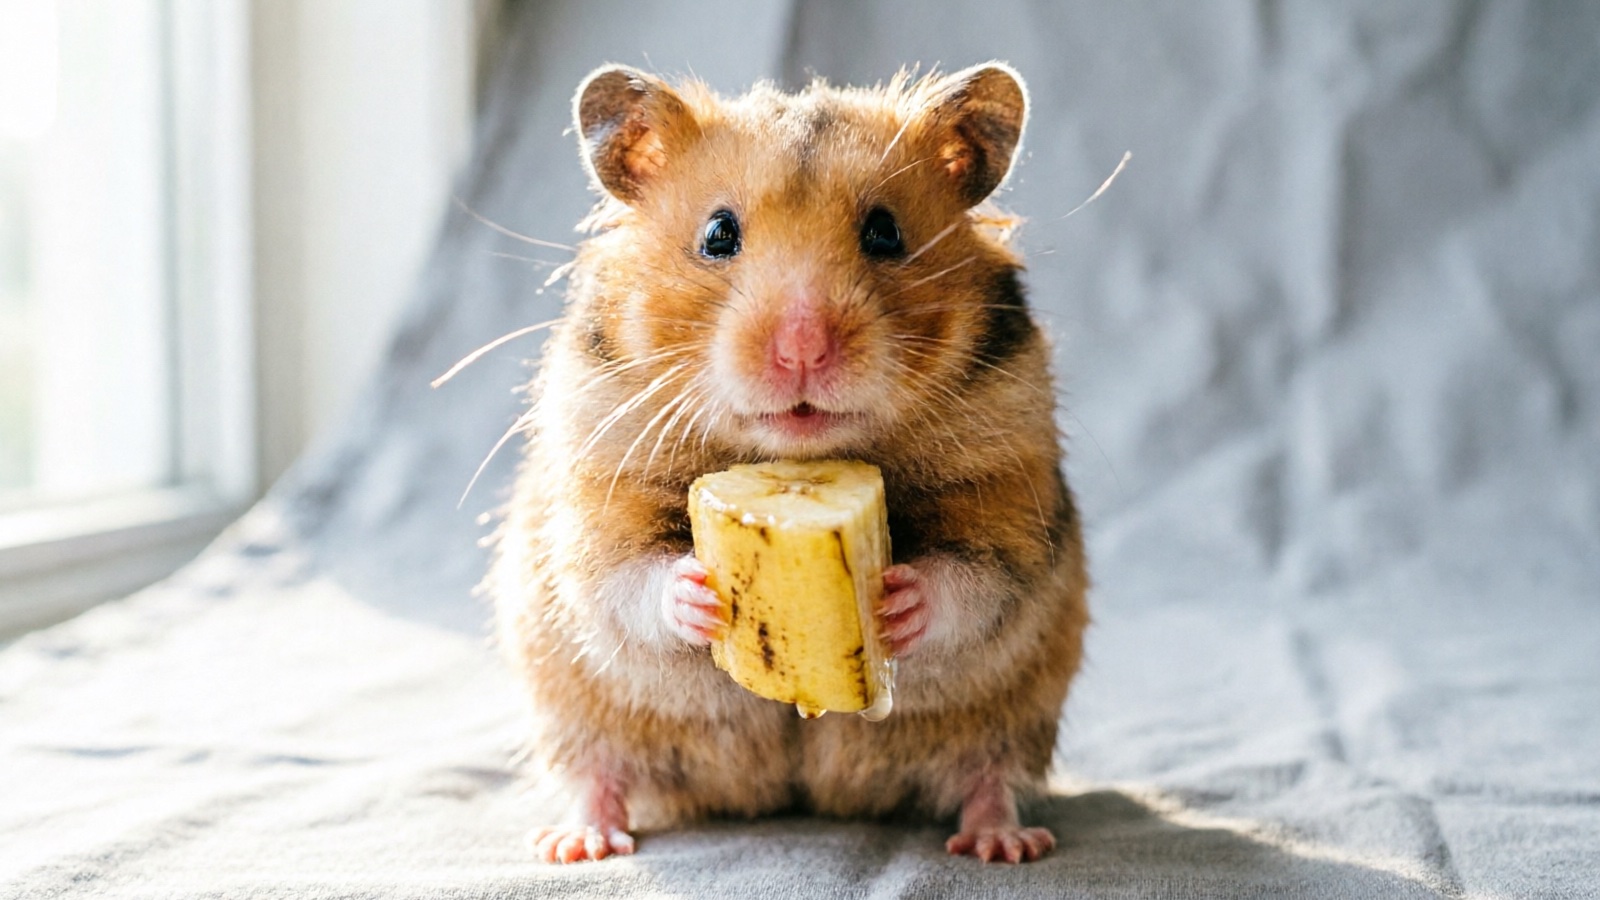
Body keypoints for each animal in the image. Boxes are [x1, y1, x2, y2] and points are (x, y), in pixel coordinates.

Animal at [490, 62, 1089, 865]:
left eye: (885, 232)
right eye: (718, 234)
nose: (802, 350)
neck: (795, 454)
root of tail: (796, 794)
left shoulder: (1008, 489)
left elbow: (977, 576)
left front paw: (897, 600)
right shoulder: (596, 487)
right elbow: (625, 573)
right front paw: (698, 592)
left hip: (1016, 716)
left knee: (987, 775)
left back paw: (1004, 843)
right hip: (573, 706)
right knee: (598, 772)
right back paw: (577, 842)